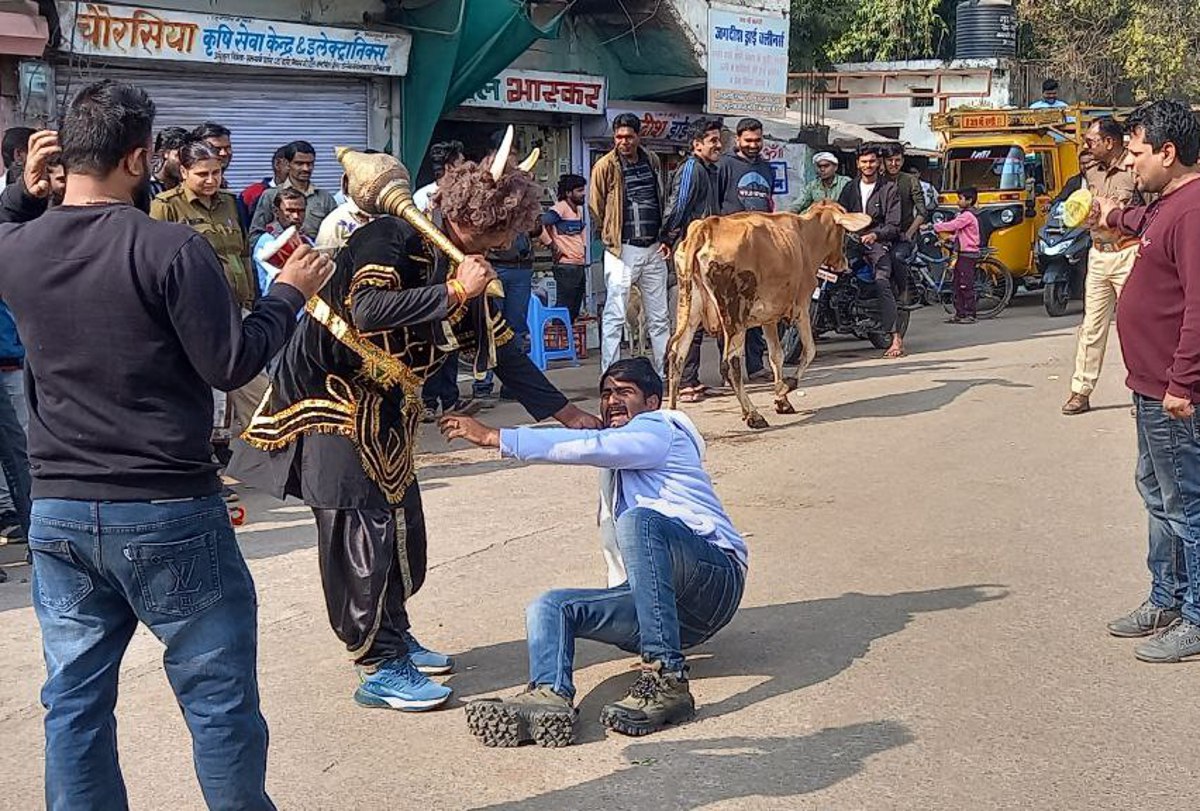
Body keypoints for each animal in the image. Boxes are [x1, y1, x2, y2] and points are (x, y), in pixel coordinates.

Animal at [667, 201, 873, 427]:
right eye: (843, 231)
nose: (844, 263)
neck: (805, 236)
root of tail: (706, 226)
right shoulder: (802, 308)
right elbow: (809, 350)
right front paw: (786, 386)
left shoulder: (769, 318)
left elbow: (776, 356)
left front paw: (782, 401)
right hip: (735, 315)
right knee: (730, 364)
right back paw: (753, 414)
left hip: (689, 308)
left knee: (677, 354)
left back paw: (670, 413)